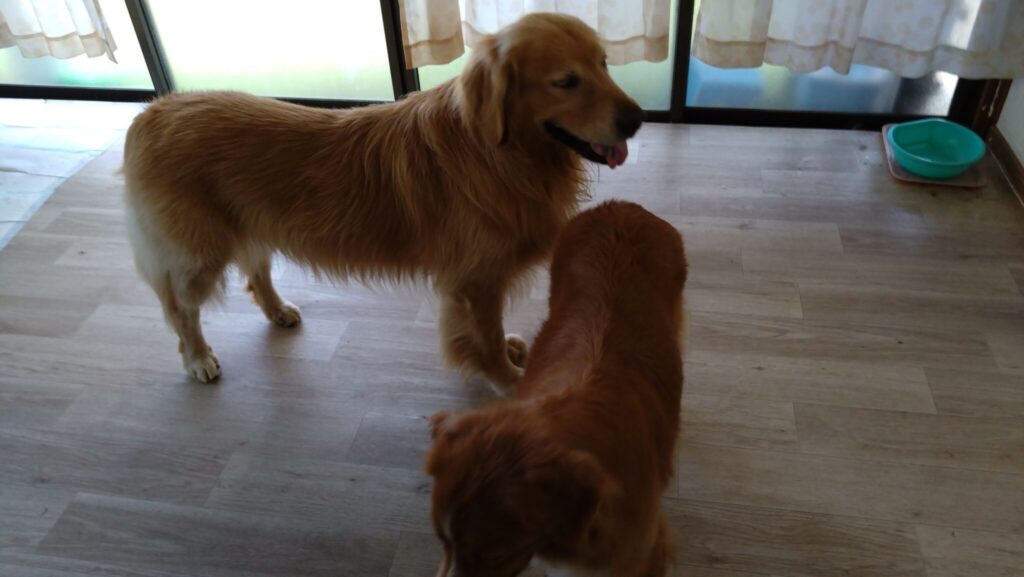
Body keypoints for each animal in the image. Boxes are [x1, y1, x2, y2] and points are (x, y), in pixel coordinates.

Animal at [122, 13, 643, 387]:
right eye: (566, 81)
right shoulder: (476, 281)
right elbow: (487, 337)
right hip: (197, 256)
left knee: (256, 270)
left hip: (251, 223)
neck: (498, 153)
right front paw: (507, 378)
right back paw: (198, 358)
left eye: (604, 63)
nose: (637, 120)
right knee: (180, 310)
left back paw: (278, 310)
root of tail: (152, 112)